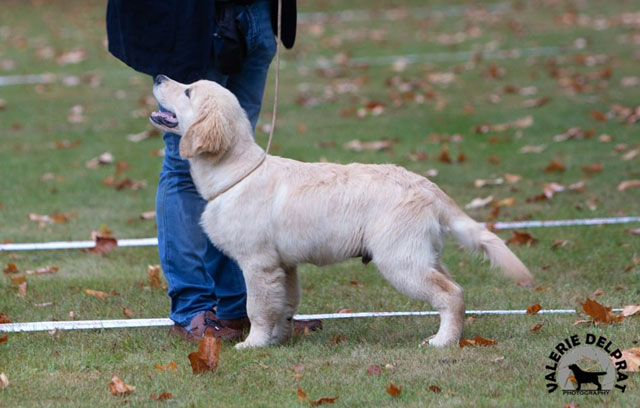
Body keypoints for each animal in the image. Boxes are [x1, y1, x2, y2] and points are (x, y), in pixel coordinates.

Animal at [149, 75, 528, 350]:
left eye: (187, 91)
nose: (158, 75)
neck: (237, 172)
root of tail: (426, 184)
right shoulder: (284, 265)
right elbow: (284, 305)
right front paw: (278, 341)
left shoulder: (257, 263)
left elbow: (257, 308)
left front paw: (253, 344)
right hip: (423, 254)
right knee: (454, 287)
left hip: (400, 260)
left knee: (451, 294)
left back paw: (443, 341)